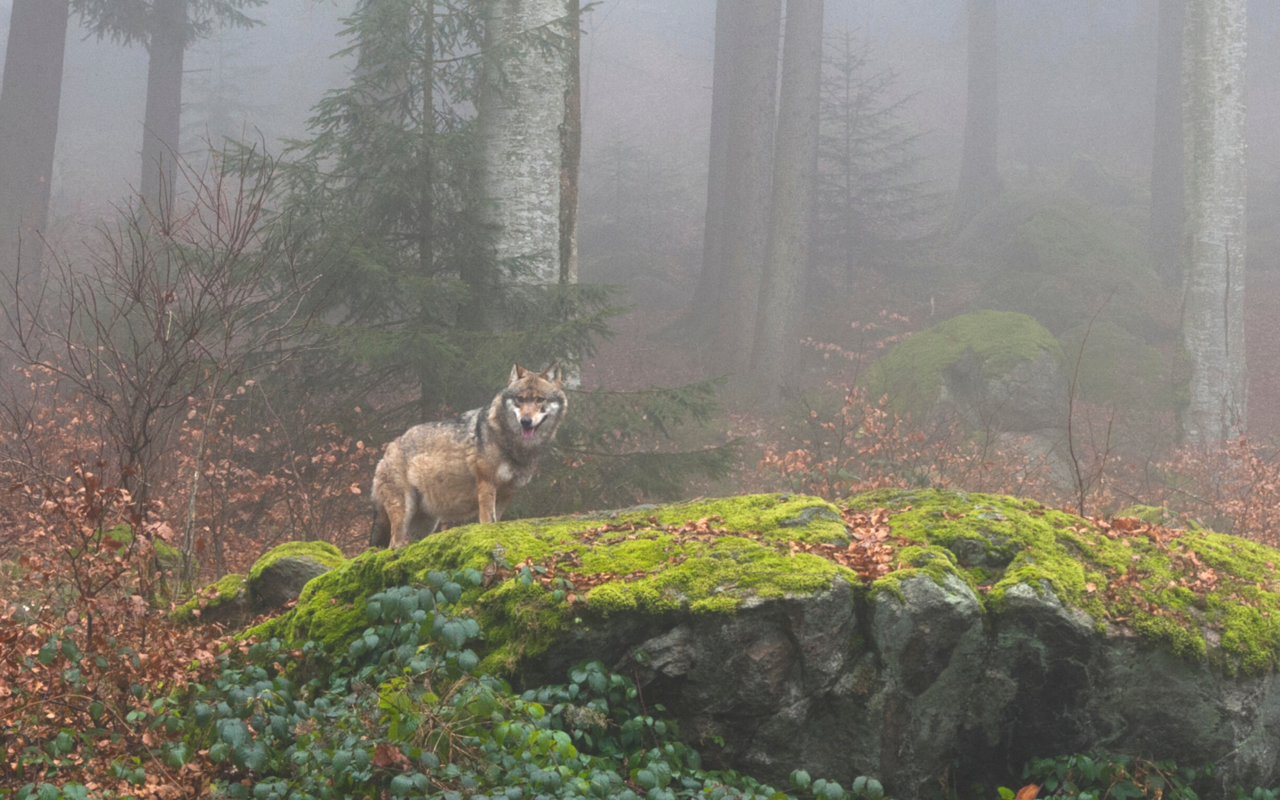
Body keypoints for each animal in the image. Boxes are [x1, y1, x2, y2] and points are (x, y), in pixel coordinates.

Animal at [373, 363, 568, 545]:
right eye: (520, 399)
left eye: (539, 399)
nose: (525, 421)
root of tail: (386, 452)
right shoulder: (487, 483)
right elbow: (488, 520)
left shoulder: (506, 494)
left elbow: (497, 521)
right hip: (404, 512)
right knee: (394, 545)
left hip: (427, 522)